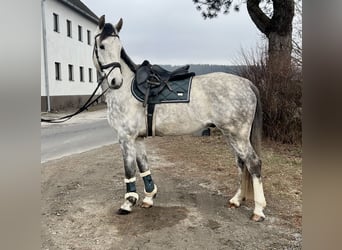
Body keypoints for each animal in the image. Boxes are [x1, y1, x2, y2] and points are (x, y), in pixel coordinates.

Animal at [92, 15, 266, 221]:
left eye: (119, 48)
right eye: (102, 46)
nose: (115, 81)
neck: (126, 89)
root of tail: (246, 83)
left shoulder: (125, 137)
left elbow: (129, 169)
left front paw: (128, 203)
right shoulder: (138, 138)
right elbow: (143, 166)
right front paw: (149, 198)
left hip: (238, 135)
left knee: (253, 164)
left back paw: (258, 210)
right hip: (232, 135)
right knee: (241, 163)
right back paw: (237, 200)